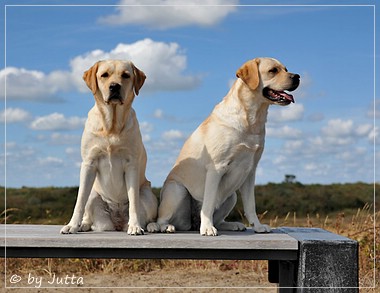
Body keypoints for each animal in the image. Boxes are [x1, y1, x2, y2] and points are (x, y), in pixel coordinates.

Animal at [61, 59, 157, 235]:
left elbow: (134, 202)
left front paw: (135, 226)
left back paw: (152, 226)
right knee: (89, 212)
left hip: (147, 194)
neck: (111, 125)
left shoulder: (131, 165)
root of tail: (117, 222)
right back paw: (83, 225)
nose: (115, 86)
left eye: (125, 75)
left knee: (148, 216)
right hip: (94, 194)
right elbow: (79, 200)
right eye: (104, 75)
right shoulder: (89, 163)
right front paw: (72, 225)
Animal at [148, 56, 300, 235]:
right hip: (177, 190)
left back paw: (232, 224)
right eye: (273, 70)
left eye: (286, 69)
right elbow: (208, 204)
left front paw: (257, 226)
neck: (251, 119)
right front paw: (207, 228)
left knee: (219, 220)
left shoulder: (250, 171)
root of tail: (192, 224)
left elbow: (250, 206)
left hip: (232, 196)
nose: (297, 77)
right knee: (163, 218)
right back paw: (167, 226)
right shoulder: (216, 168)